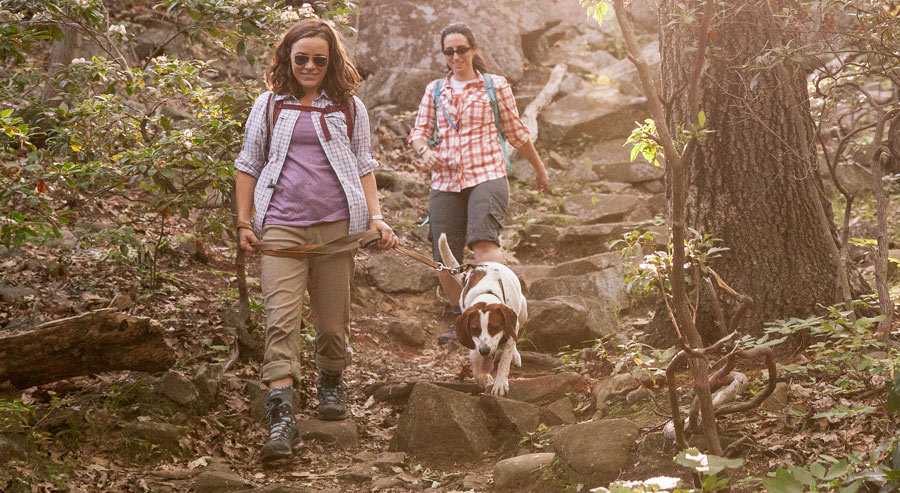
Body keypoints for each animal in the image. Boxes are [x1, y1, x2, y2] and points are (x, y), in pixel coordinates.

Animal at [438, 233, 528, 398]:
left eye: (494, 327)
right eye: (474, 329)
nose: (485, 351)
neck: (487, 294)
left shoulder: (511, 326)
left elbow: (505, 358)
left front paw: (500, 383)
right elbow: (474, 356)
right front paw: (482, 377)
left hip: (523, 311)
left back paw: (514, 354)